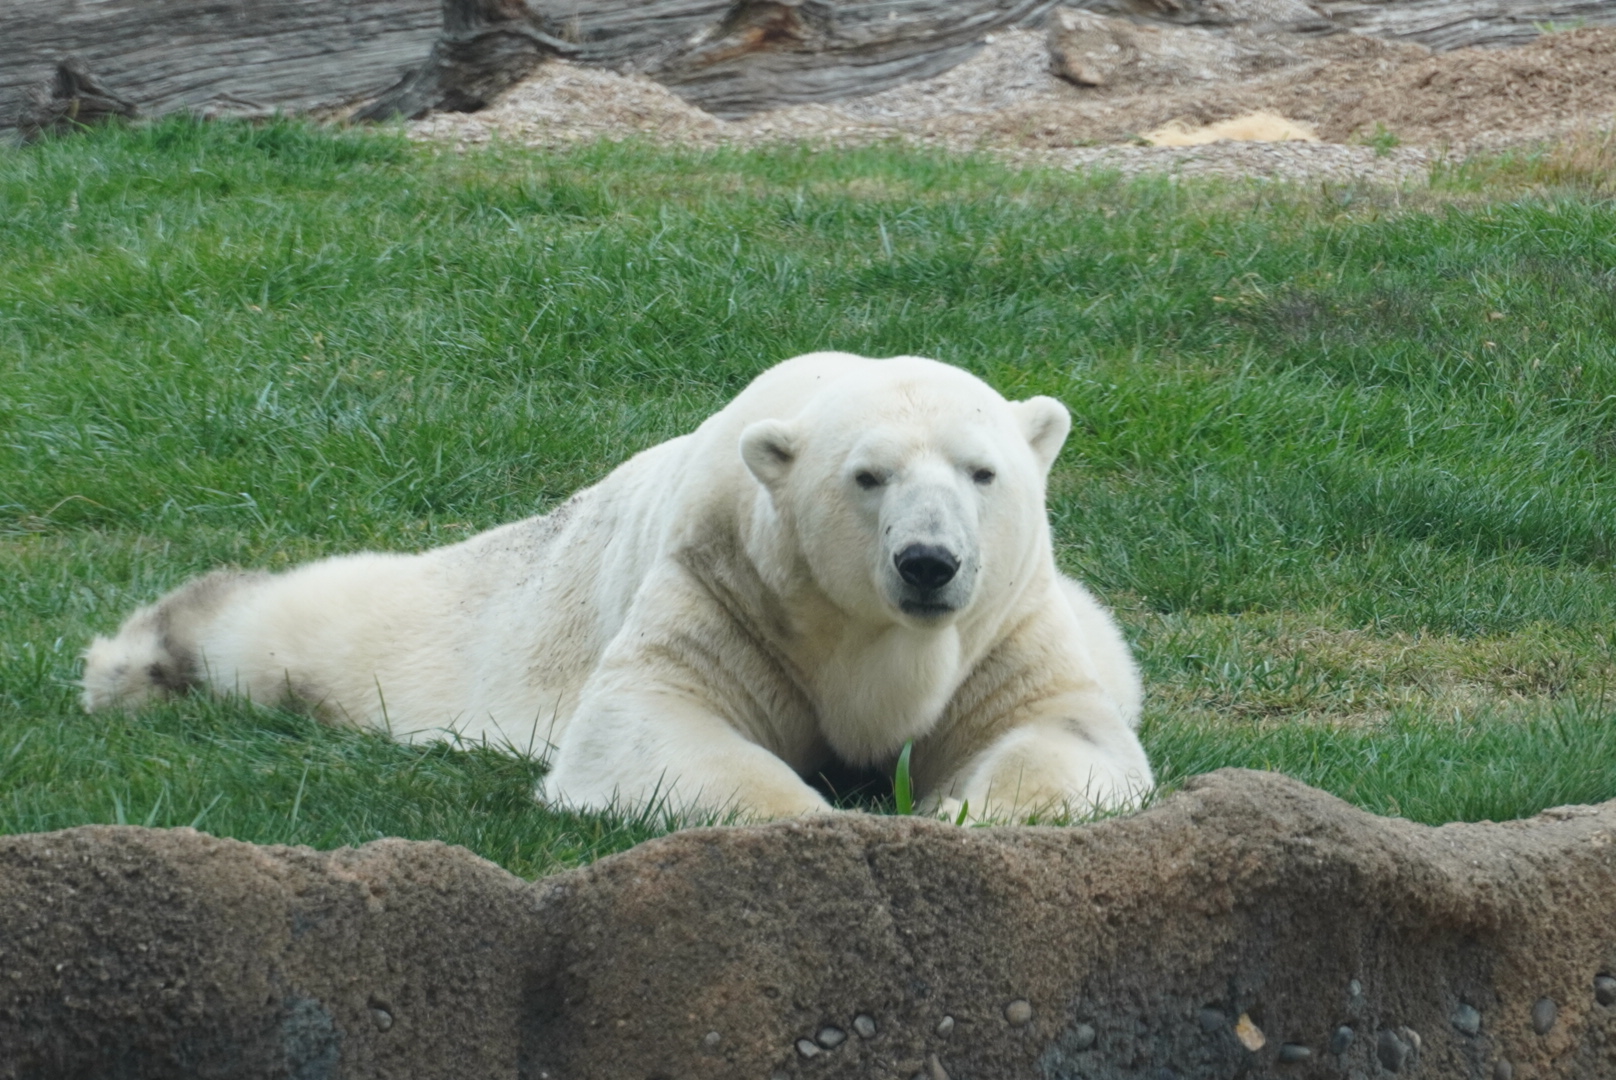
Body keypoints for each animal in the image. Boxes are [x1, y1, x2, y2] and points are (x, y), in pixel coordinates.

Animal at [81, 352, 1153, 821]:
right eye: (868, 476)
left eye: (983, 472)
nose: (929, 562)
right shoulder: (723, 588)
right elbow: (652, 727)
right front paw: (819, 814)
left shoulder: (1004, 624)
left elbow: (1060, 731)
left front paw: (959, 810)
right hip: (488, 608)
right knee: (329, 624)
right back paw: (138, 665)